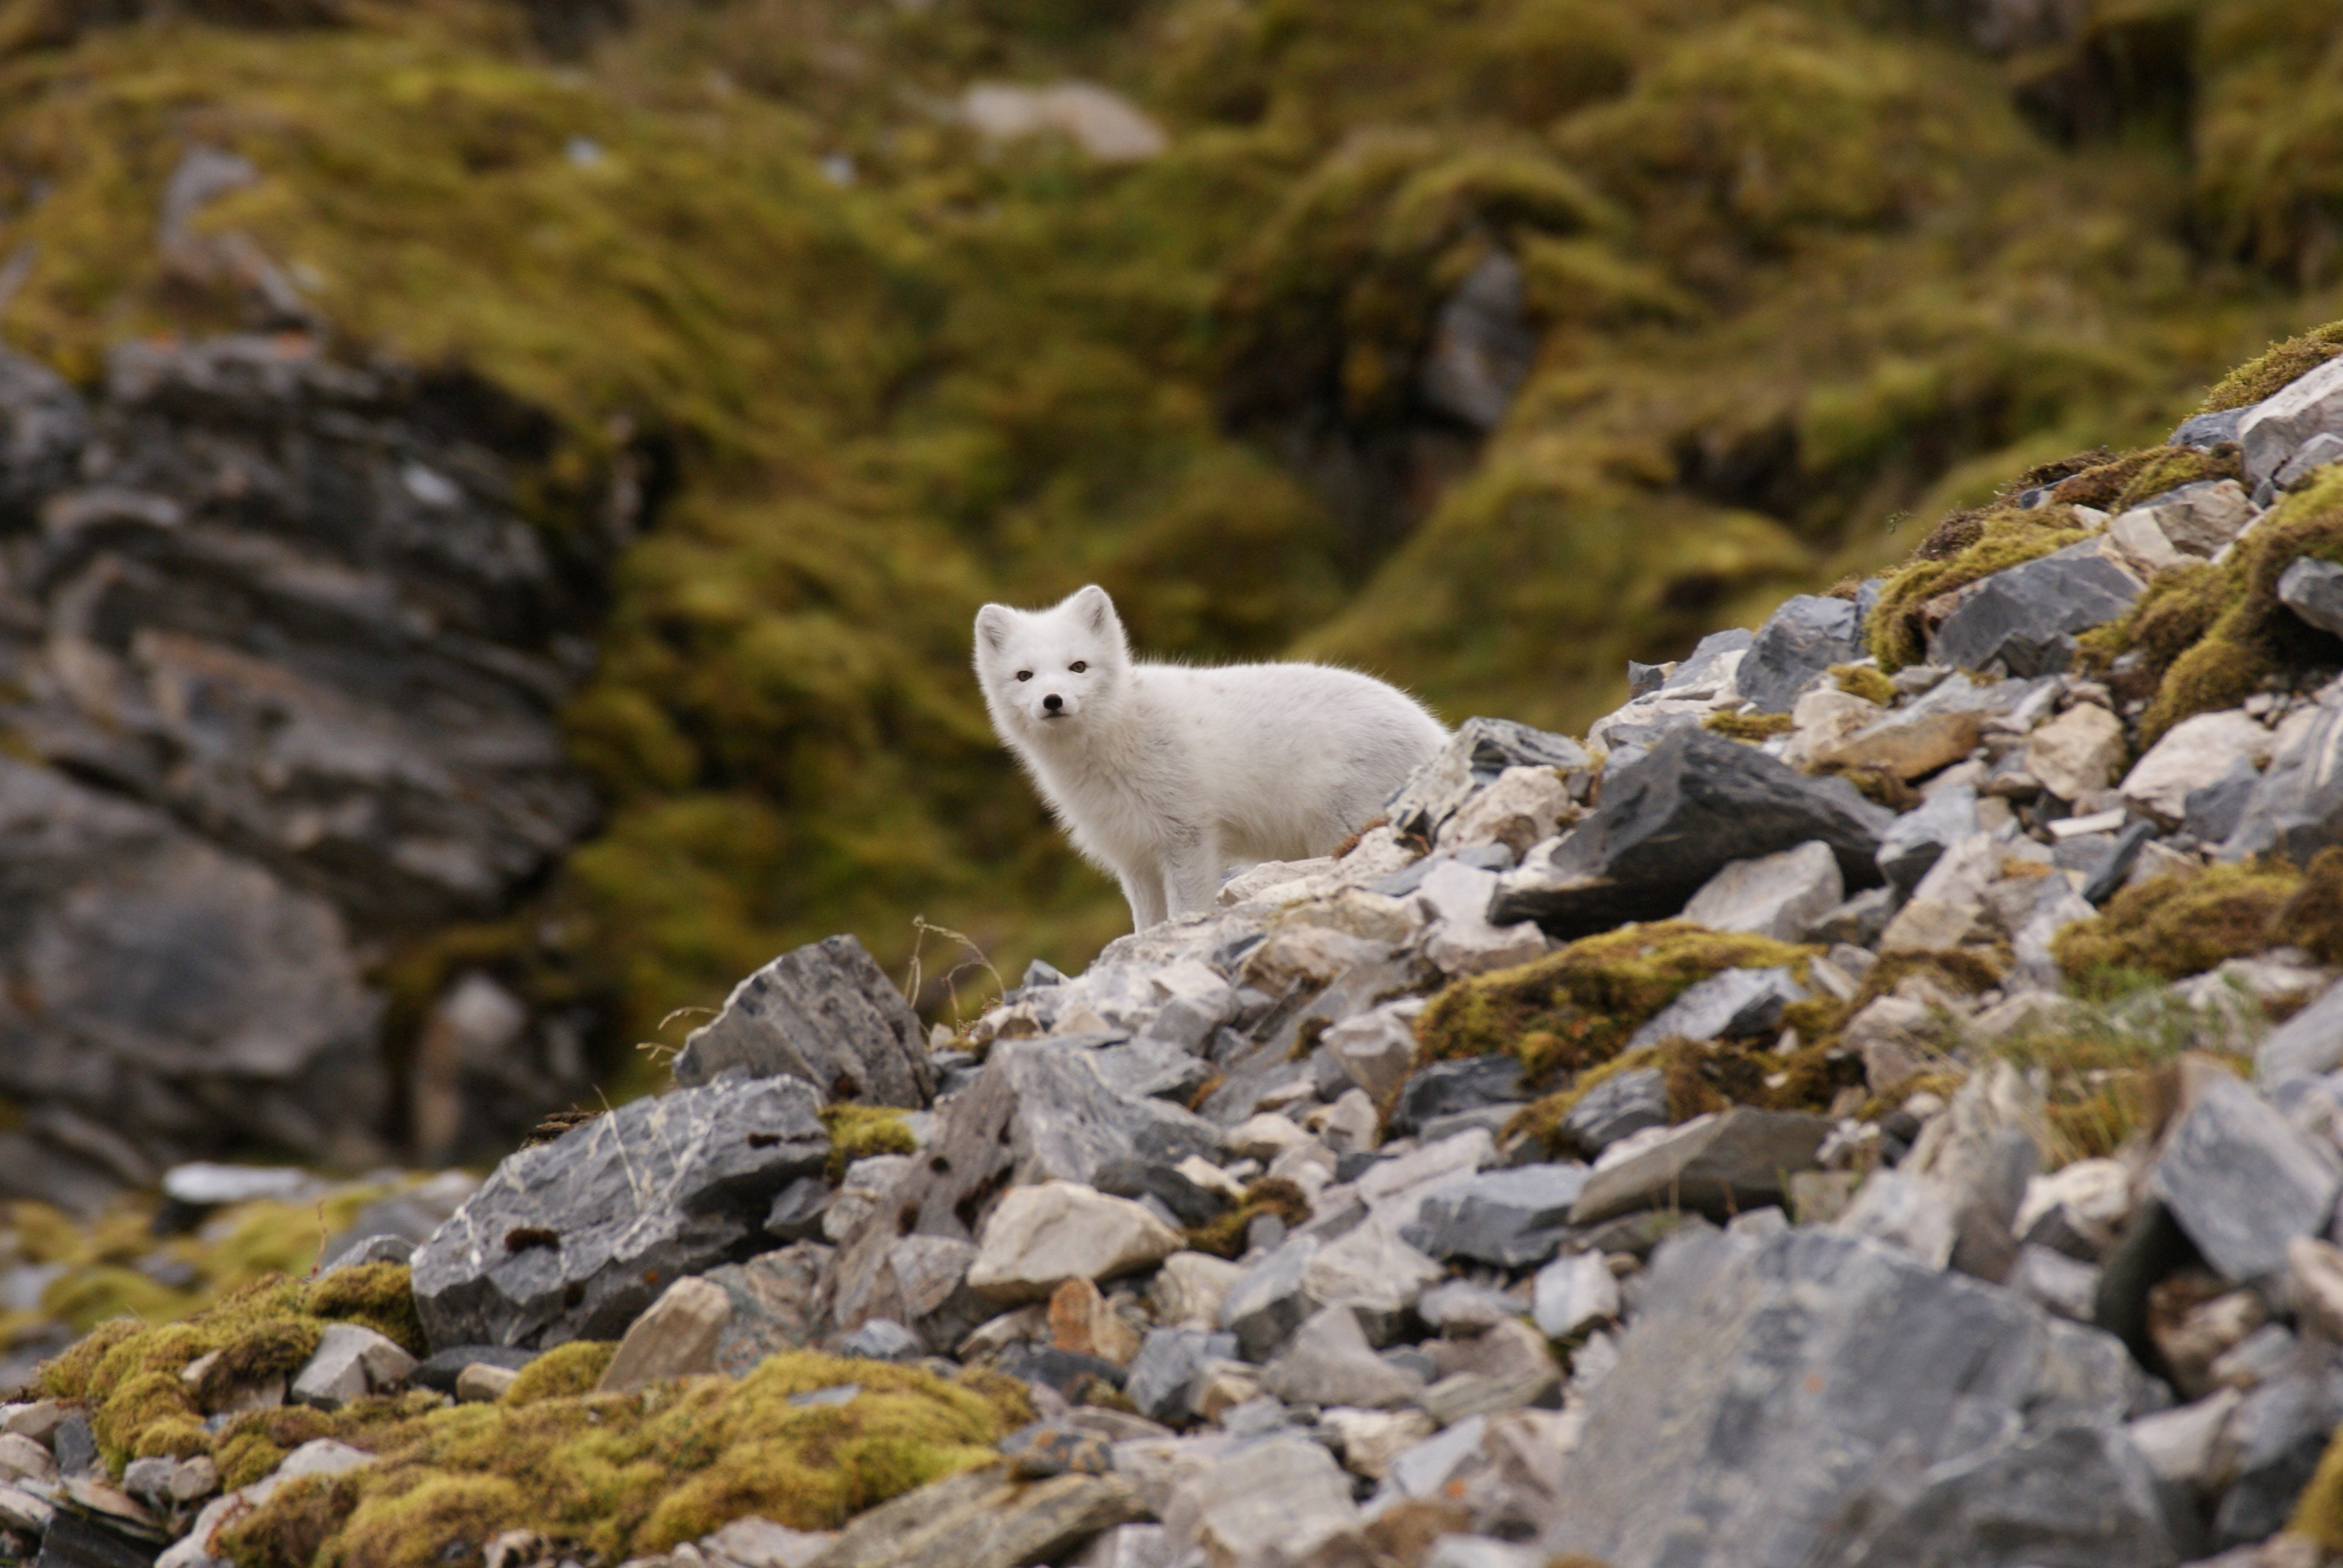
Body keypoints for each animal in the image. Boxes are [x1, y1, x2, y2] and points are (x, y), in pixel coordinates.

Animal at [973, 584, 1447, 930]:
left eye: (1078, 667)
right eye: (1024, 676)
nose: (1052, 701)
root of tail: (1437, 735)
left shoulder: (1187, 836)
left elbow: (1185, 910)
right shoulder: (1133, 856)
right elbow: (1145, 924)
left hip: (1341, 829)